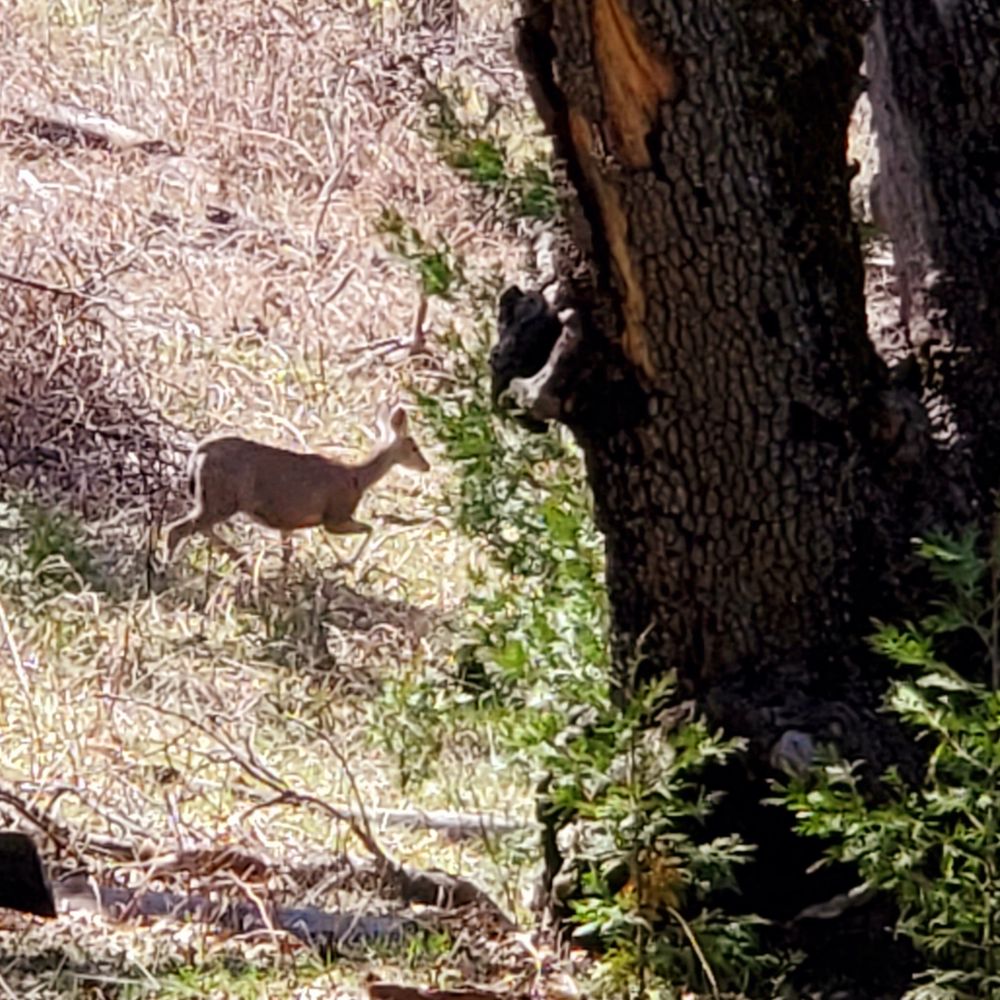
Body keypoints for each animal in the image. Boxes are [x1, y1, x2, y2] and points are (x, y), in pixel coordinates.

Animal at [164, 404, 430, 569]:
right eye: (414, 446)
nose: (427, 466)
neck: (358, 478)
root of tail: (198, 452)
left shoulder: (287, 522)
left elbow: (287, 555)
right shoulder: (335, 516)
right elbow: (370, 528)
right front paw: (344, 563)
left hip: (212, 500)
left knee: (200, 529)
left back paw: (241, 562)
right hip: (222, 499)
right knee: (177, 529)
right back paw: (167, 569)